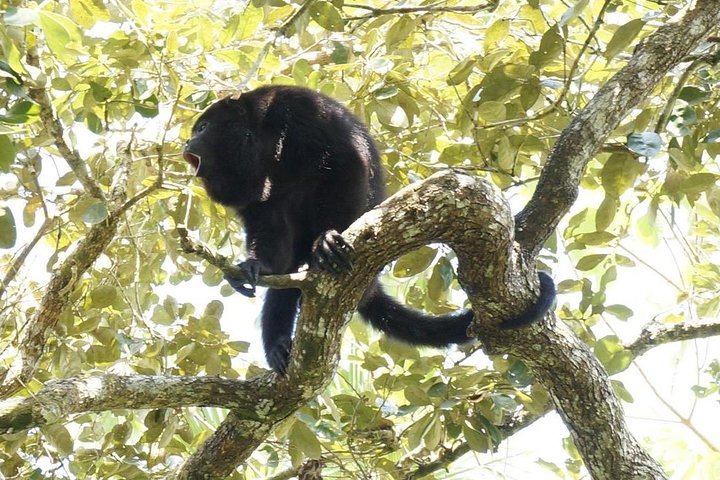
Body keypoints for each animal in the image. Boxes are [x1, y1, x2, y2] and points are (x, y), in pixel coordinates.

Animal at [183, 85, 556, 374]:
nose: (187, 143)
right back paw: (278, 344)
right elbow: (267, 227)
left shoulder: (302, 112)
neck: (263, 141)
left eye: (202, 128)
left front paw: (327, 240)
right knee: (288, 275)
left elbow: (345, 164)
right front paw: (253, 265)